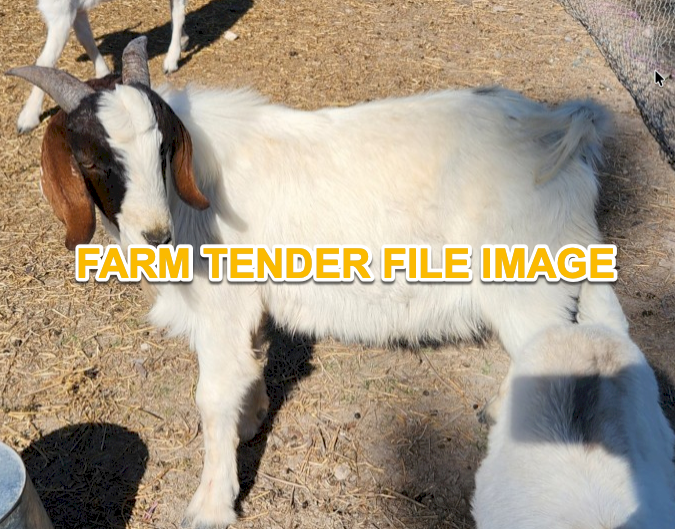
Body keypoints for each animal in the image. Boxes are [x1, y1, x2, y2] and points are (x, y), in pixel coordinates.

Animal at [8, 37, 612, 528]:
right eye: (90, 157)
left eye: (163, 148)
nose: (156, 236)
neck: (193, 196)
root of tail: (559, 131)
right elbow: (252, 362)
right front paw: (252, 421)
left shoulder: (221, 307)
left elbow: (213, 395)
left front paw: (210, 505)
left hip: (526, 290)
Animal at [16, 0, 188, 133]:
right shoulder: (76, 10)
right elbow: (85, 38)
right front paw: (103, 72)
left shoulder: (61, 14)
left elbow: (45, 61)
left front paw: (28, 118)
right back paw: (183, 41)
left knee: (179, 12)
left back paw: (171, 59)